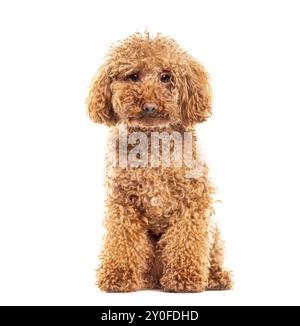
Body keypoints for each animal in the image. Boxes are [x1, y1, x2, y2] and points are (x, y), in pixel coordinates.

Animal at [86, 32, 232, 292]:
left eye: (166, 77)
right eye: (133, 76)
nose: (150, 106)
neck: (153, 141)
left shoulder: (194, 203)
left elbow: (187, 241)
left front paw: (184, 277)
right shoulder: (123, 205)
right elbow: (122, 242)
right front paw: (119, 276)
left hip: (213, 229)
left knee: (213, 255)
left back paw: (216, 278)